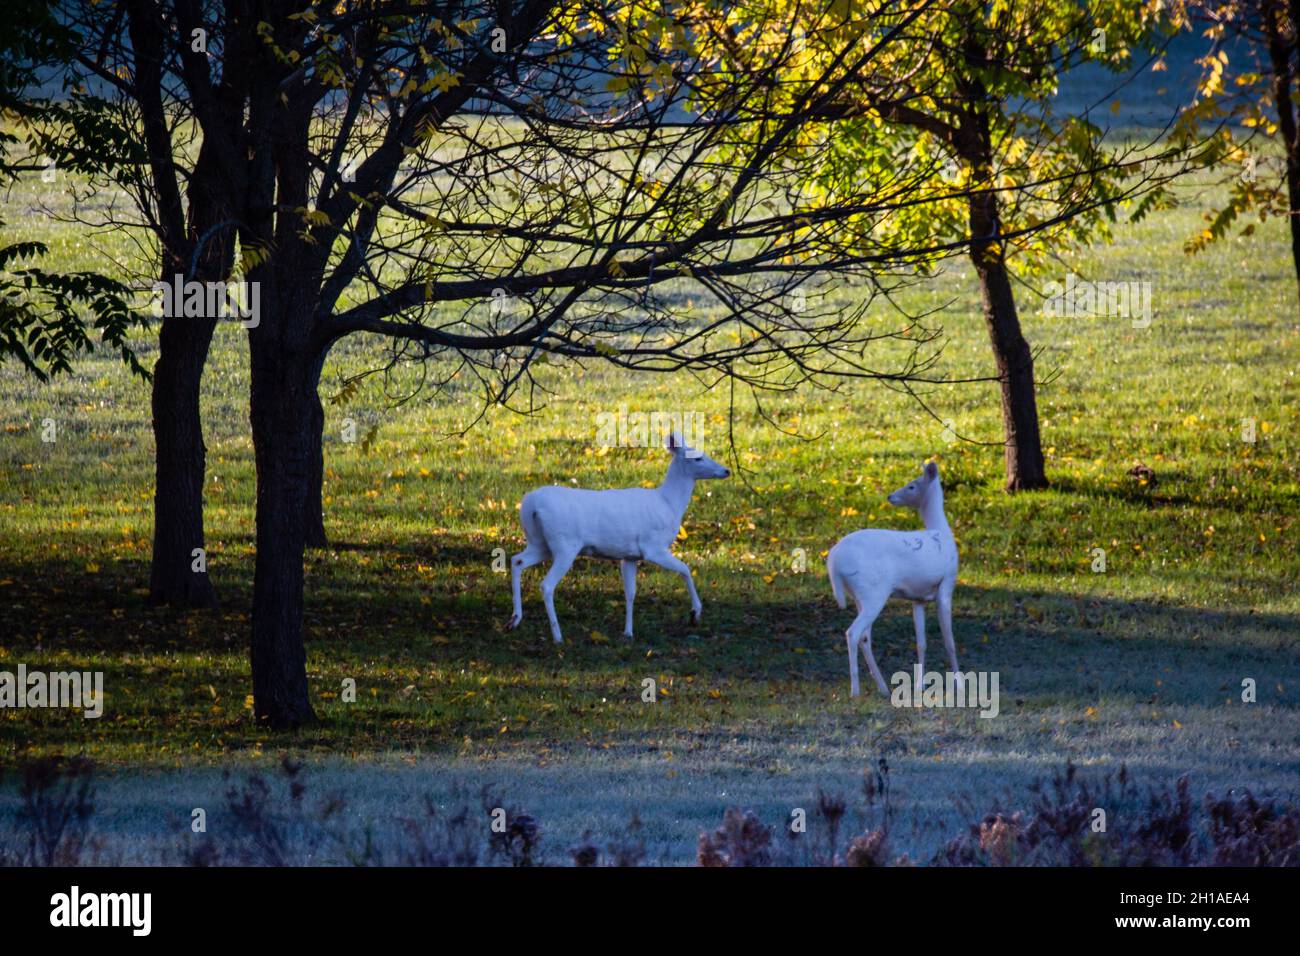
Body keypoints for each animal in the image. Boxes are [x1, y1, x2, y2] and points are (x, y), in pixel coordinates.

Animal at [506, 431, 733, 642]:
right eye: (697, 458)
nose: (726, 470)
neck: (668, 503)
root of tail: (531, 506)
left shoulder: (629, 556)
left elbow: (630, 593)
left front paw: (628, 632)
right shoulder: (653, 546)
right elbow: (685, 569)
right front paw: (695, 613)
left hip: (539, 541)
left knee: (517, 560)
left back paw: (515, 619)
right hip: (565, 544)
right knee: (546, 585)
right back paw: (557, 636)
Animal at [826, 463, 961, 697]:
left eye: (912, 486)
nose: (890, 496)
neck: (941, 533)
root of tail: (833, 560)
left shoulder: (918, 598)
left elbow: (921, 642)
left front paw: (920, 685)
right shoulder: (947, 583)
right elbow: (949, 640)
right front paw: (960, 684)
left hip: (860, 595)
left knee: (864, 637)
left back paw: (882, 687)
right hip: (874, 591)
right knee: (853, 633)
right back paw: (855, 690)